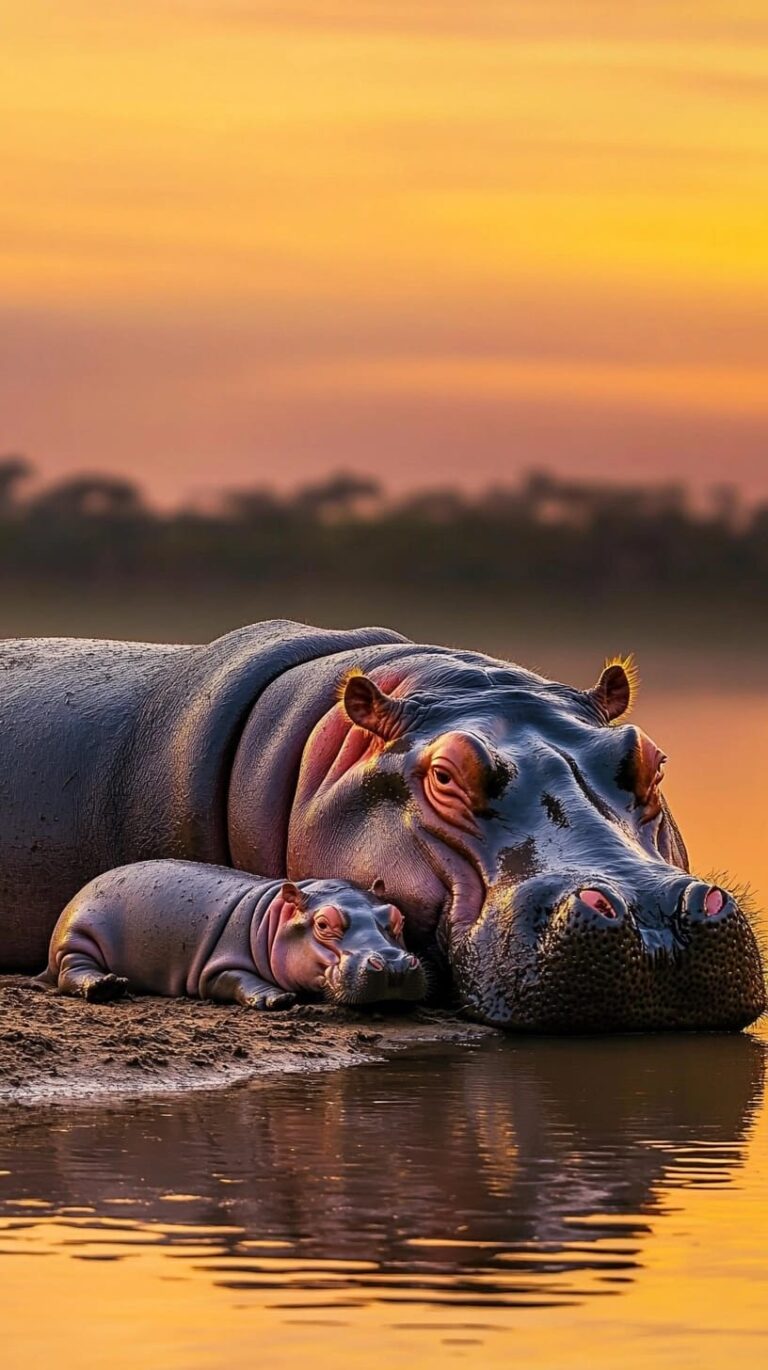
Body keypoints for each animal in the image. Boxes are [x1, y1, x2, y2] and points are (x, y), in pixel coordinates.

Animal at [41, 861, 424, 1007]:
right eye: (323, 924)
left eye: (397, 917)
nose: (393, 963)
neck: (272, 921)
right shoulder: (217, 966)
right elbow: (238, 978)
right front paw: (276, 999)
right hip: (77, 940)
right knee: (71, 972)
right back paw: (106, 986)